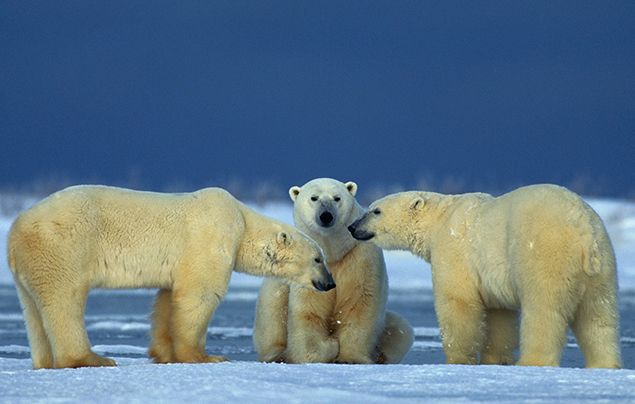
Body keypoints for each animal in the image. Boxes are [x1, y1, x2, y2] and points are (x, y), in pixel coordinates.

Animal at [7, 186, 336, 370]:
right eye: (318, 259)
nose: (330, 283)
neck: (242, 223)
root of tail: (14, 230)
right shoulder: (211, 237)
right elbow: (199, 295)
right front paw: (206, 357)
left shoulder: (179, 264)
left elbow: (168, 299)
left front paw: (163, 354)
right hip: (63, 247)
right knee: (65, 301)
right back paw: (91, 359)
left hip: (28, 267)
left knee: (32, 308)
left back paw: (44, 362)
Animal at [253, 178, 418, 364]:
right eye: (314, 198)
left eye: (337, 198)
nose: (326, 216)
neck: (332, 252)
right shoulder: (307, 269)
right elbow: (309, 311)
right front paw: (327, 348)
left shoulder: (359, 258)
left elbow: (359, 305)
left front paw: (349, 358)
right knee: (271, 311)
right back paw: (278, 355)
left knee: (401, 329)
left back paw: (380, 356)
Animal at [348, 185, 620, 368]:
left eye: (375, 211)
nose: (352, 227)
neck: (439, 220)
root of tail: (583, 230)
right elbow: (500, 316)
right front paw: (495, 360)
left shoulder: (453, 248)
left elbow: (457, 303)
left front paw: (458, 360)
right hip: (602, 266)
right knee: (598, 316)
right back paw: (604, 364)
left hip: (546, 256)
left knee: (543, 311)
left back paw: (532, 361)